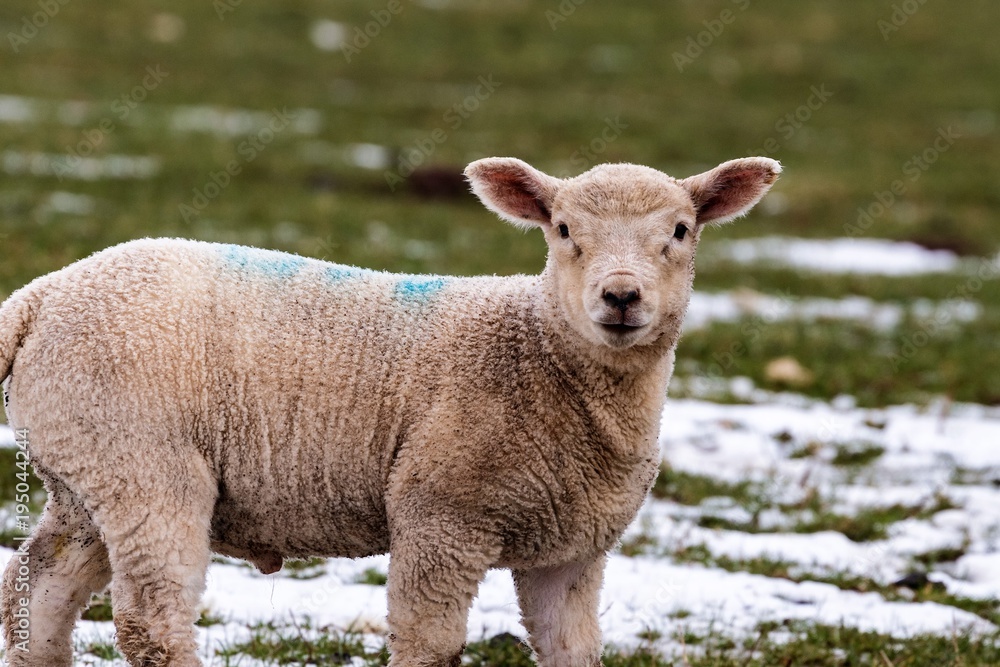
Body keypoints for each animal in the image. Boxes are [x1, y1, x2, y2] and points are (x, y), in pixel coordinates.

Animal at [0, 155, 780, 667]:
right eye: (561, 229)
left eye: (680, 230)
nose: (621, 297)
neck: (540, 353)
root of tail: (42, 295)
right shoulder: (441, 513)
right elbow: (429, 645)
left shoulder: (572, 549)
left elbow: (573, 652)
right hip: (143, 462)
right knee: (151, 622)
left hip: (86, 470)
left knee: (37, 592)